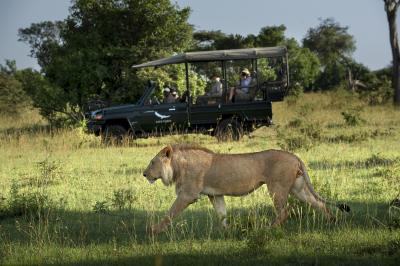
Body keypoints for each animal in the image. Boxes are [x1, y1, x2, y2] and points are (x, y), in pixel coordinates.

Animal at [142, 144, 348, 234]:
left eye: (152, 162)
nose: (144, 174)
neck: (178, 166)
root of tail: (295, 156)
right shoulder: (215, 195)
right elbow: (222, 214)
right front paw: (226, 232)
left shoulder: (187, 195)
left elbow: (170, 213)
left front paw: (153, 230)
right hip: (298, 189)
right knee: (319, 203)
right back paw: (332, 221)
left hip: (277, 187)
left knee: (284, 212)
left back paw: (267, 229)